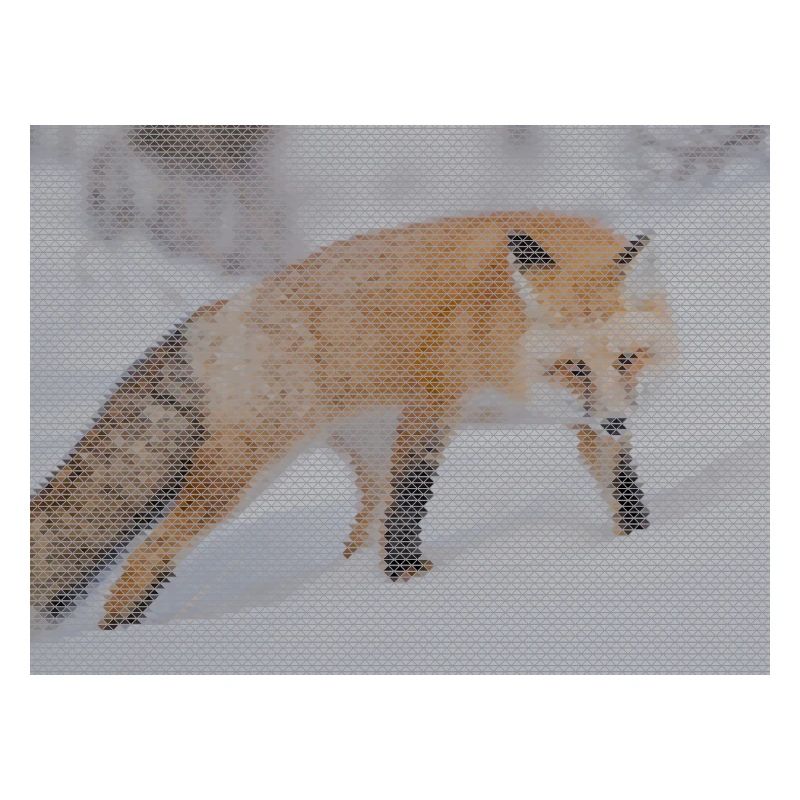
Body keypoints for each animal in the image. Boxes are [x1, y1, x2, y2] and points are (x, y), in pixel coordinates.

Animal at [30, 211, 676, 629]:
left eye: (626, 359)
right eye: (574, 366)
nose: (618, 421)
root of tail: (218, 311)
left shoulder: (585, 421)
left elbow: (622, 487)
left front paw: (639, 542)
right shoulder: (431, 405)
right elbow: (412, 504)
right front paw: (407, 580)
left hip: (364, 456)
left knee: (357, 537)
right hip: (243, 470)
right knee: (147, 555)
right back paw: (121, 633)